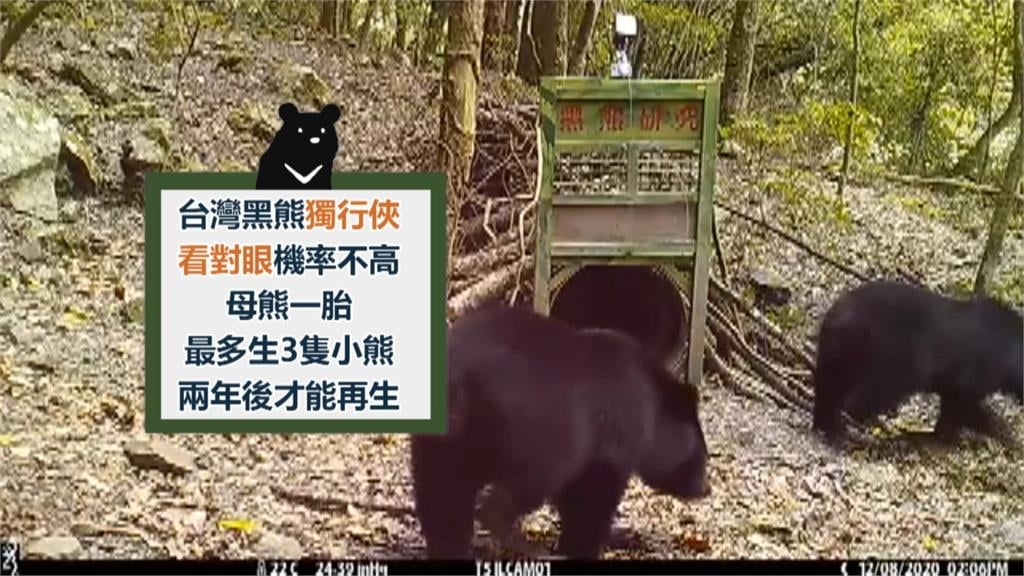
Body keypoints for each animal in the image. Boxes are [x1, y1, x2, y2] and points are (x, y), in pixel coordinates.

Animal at [410, 304, 711, 560]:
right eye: (702, 456)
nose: (705, 488)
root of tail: (458, 377)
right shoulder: (611, 431)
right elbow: (592, 494)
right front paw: (583, 546)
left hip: (442, 438)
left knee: (442, 491)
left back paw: (451, 548)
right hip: (535, 429)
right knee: (517, 488)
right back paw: (521, 544)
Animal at [811, 279, 1024, 448]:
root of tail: (833, 316)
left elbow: (952, 406)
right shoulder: (974, 372)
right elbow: (963, 403)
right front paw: (1003, 432)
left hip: (838, 355)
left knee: (828, 385)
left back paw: (826, 426)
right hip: (886, 355)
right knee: (865, 395)